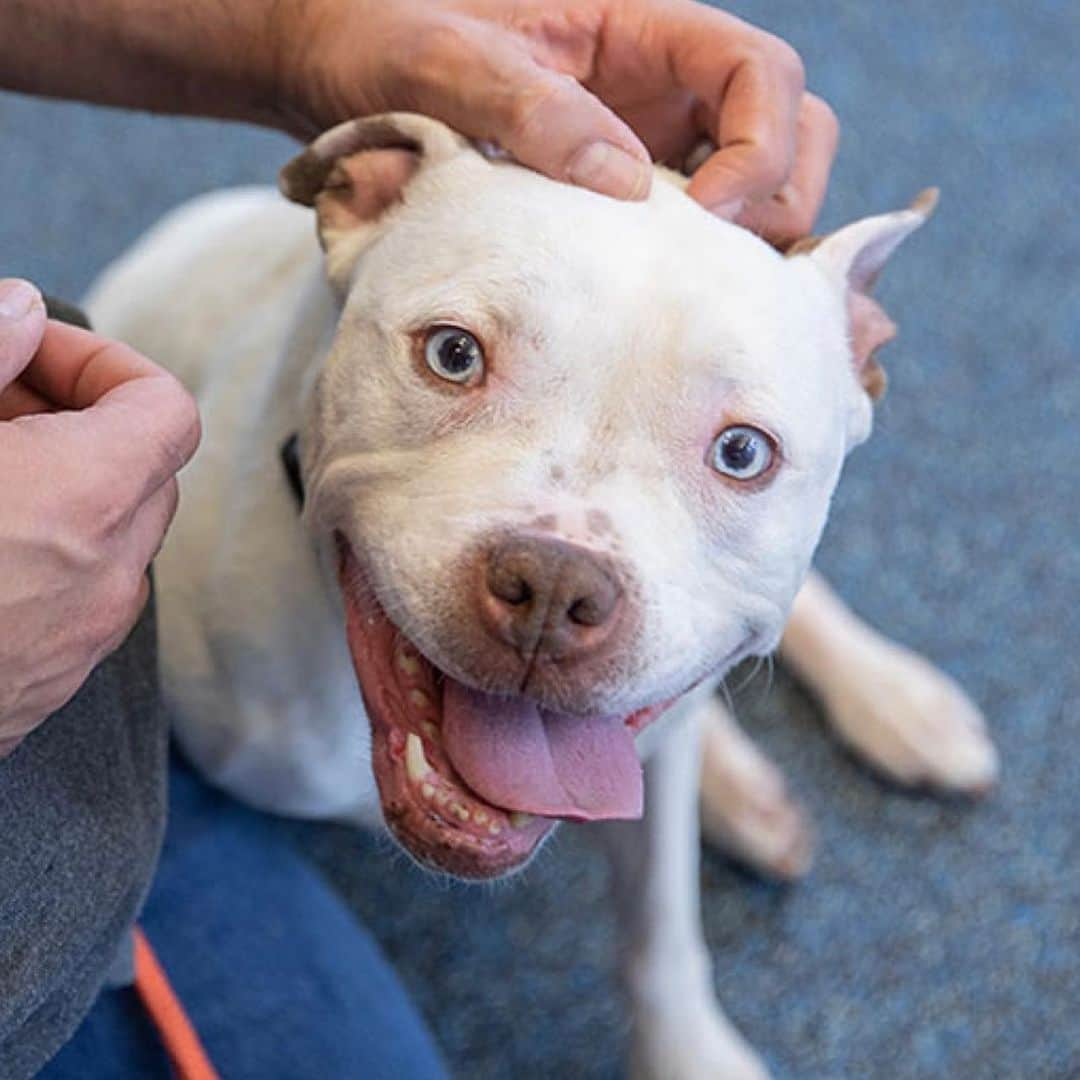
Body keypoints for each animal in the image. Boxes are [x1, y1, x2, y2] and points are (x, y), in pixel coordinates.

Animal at [88, 113, 997, 1075]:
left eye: (743, 452)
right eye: (453, 354)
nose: (556, 588)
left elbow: (661, 933)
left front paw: (690, 1051)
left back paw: (893, 703)